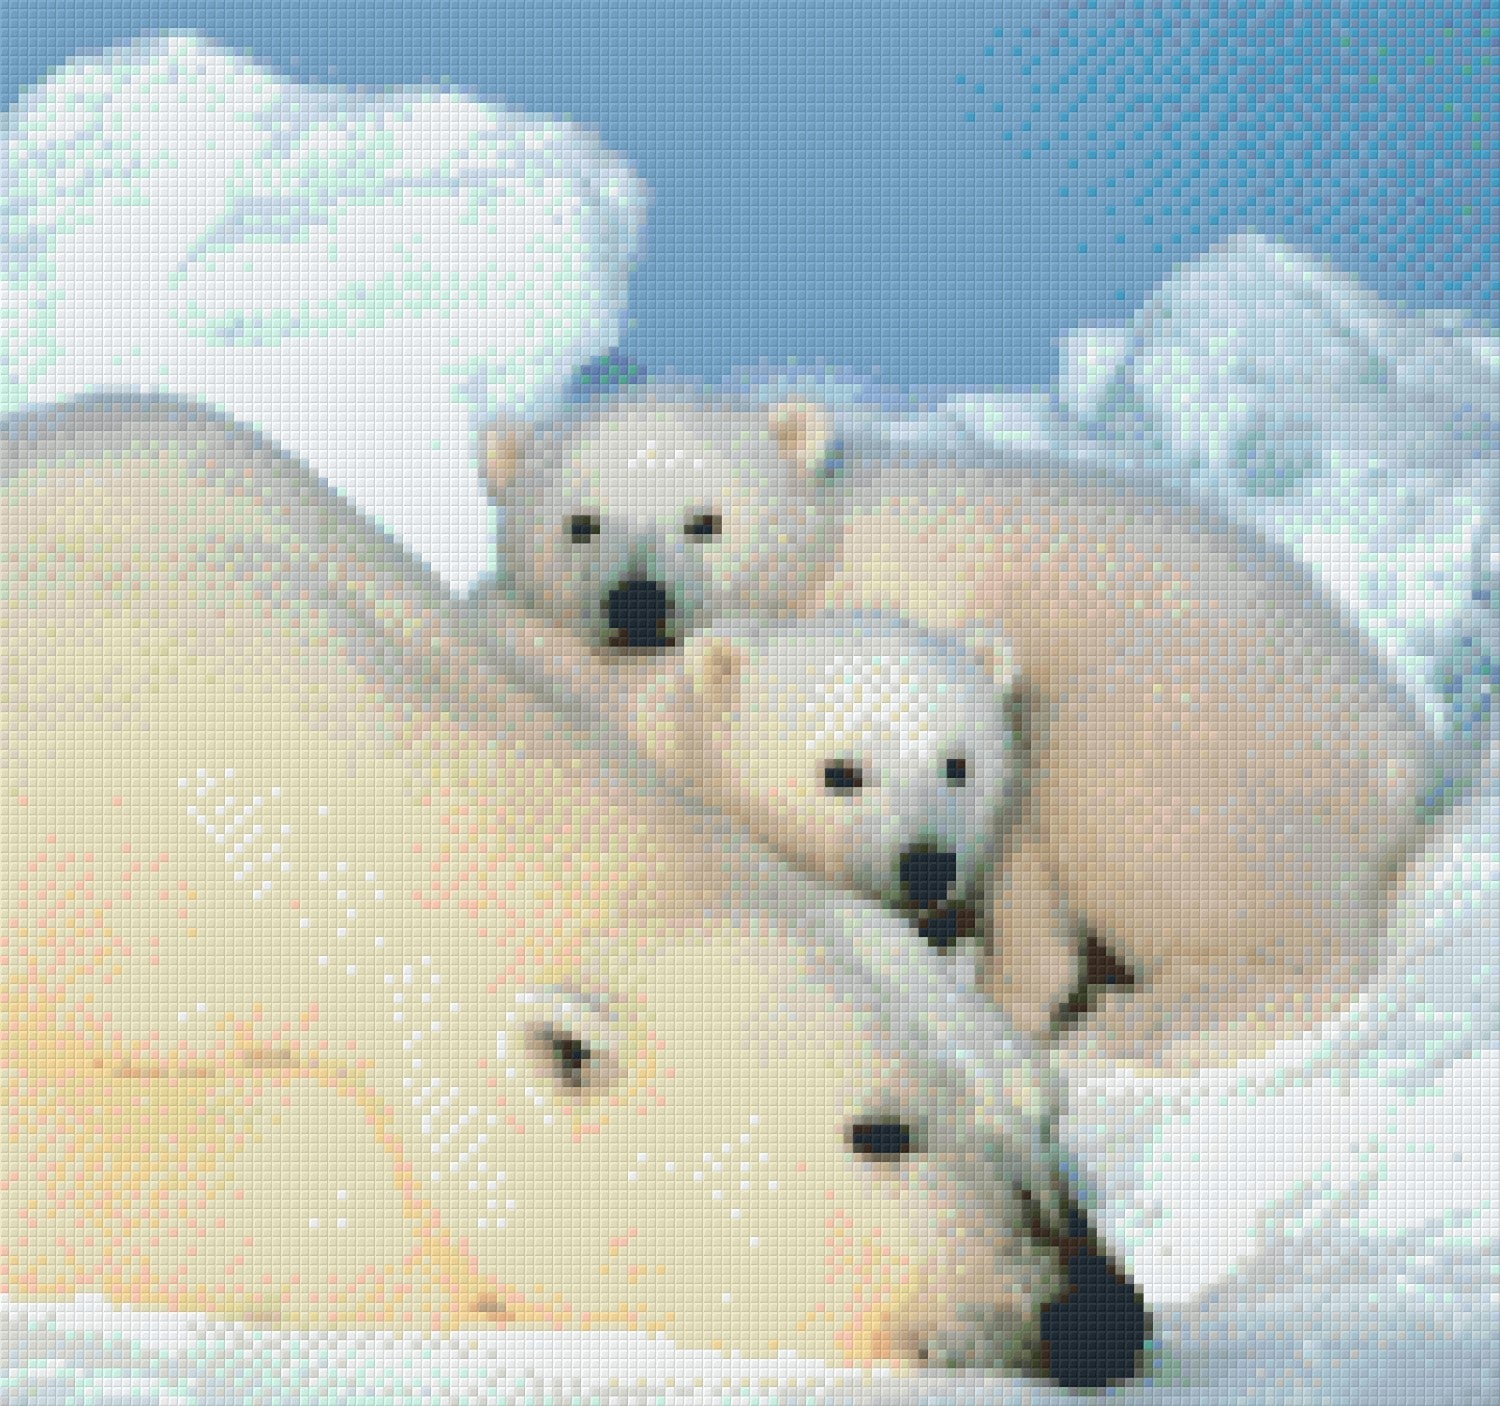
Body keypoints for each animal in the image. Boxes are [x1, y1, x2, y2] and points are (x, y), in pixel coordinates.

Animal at [476, 387, 1444, 1073]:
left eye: (703, 520)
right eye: (581, 523)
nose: (638, 603)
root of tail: (1395, 741)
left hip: (1196, 712)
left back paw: (1167, 1020)